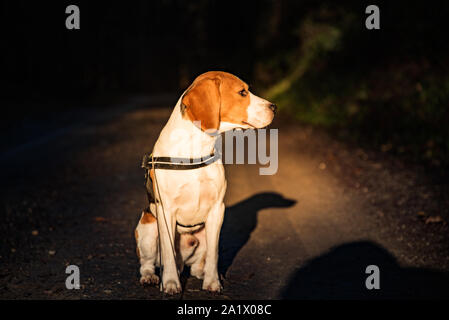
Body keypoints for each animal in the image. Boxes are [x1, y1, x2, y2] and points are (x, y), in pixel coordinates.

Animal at [133, 71, 274, 294]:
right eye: (242, 92)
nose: (274, 107)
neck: (196, 147)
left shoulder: (217, 210)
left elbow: (214, 255)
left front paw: (212, 282)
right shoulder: (166, 211)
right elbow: (168, 254)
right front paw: (170, 283)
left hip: (204, 234)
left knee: (198, 264)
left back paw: (203, 273)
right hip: (147, 229)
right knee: (148, 263)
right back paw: (151, 277)